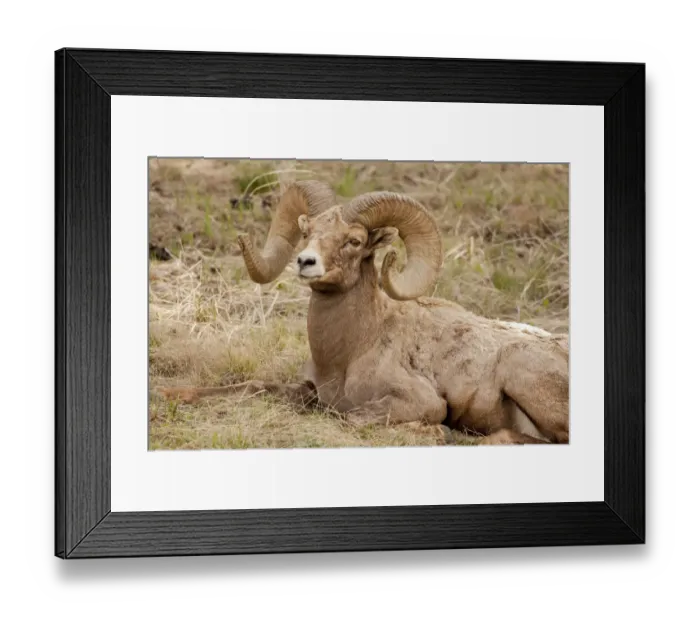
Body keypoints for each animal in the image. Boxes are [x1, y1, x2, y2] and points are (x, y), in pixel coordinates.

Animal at [161, 180, 569, 445]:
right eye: (306, 231)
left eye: (354, 241)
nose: (305, 262)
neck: (348, 353)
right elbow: (249, 386)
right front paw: (171, 395)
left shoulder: (418, 401)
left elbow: (348, 417)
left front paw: (436, 432)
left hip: (520, 370)